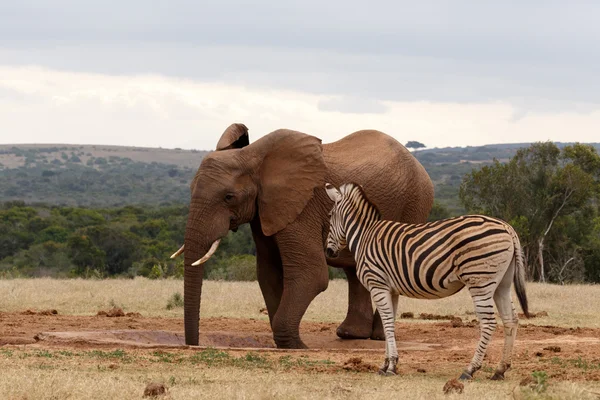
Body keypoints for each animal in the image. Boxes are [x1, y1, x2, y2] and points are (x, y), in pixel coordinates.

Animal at [176, 123, 434, 348]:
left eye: (229, 197)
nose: (194, 345)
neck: (254, 157)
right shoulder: (265, 211)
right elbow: (268, 273)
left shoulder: (302, 206)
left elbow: (311, 273)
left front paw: (296, 345)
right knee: (354, 269)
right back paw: (351, 335)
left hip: (414, 202)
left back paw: (379, 337)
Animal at [324, 183, 528, 380]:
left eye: (330, 215)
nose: (328, 251)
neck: (364, 236)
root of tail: (507, 227)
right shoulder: (391, 290)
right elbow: (389, 323)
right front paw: (387, 364)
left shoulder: (377, 285)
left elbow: (387, 322)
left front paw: (391, 366)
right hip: (502, 284)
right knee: (511, 320)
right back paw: (500, 370)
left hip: (480, 281)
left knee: (489, 322)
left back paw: (470, 370)